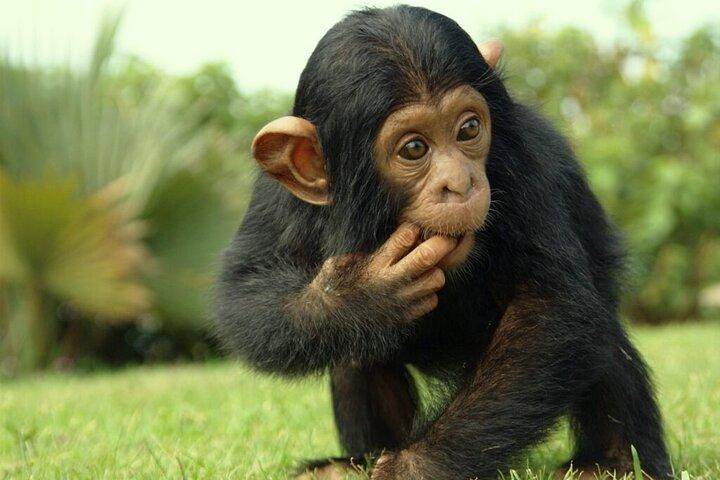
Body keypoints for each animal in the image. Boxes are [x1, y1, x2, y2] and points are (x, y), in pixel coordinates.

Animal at [214, 6, 672, 480]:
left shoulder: (531, 163)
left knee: (602, 335)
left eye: (469, 128)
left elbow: (548, 311)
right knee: (352, 349)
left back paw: (609, 463)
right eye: (415, 148)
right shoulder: (279, 194)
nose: (460, 182)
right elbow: (245, 290)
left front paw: (413, 467)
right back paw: (353, 461)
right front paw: (357, 296)